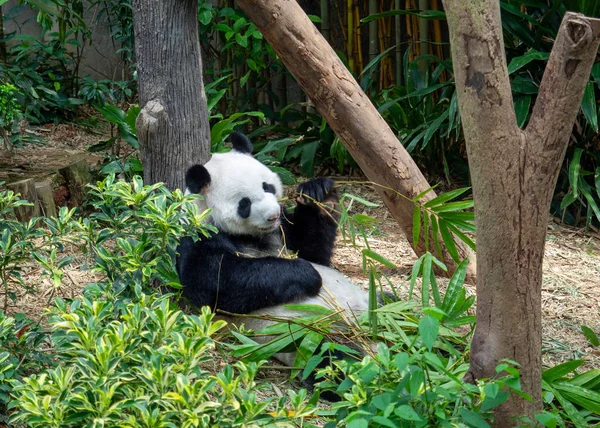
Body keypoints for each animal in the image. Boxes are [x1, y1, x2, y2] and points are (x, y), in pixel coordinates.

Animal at [176, 133, 372, 368]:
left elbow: (314, 252)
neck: (254, 235)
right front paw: (308, 274)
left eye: (267, 186)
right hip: (303, 332)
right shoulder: (199, 237)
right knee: (331, 354)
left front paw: (321, 196)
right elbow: (220, 282)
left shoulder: (283, 230)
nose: (273, 215)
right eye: (244, 203)